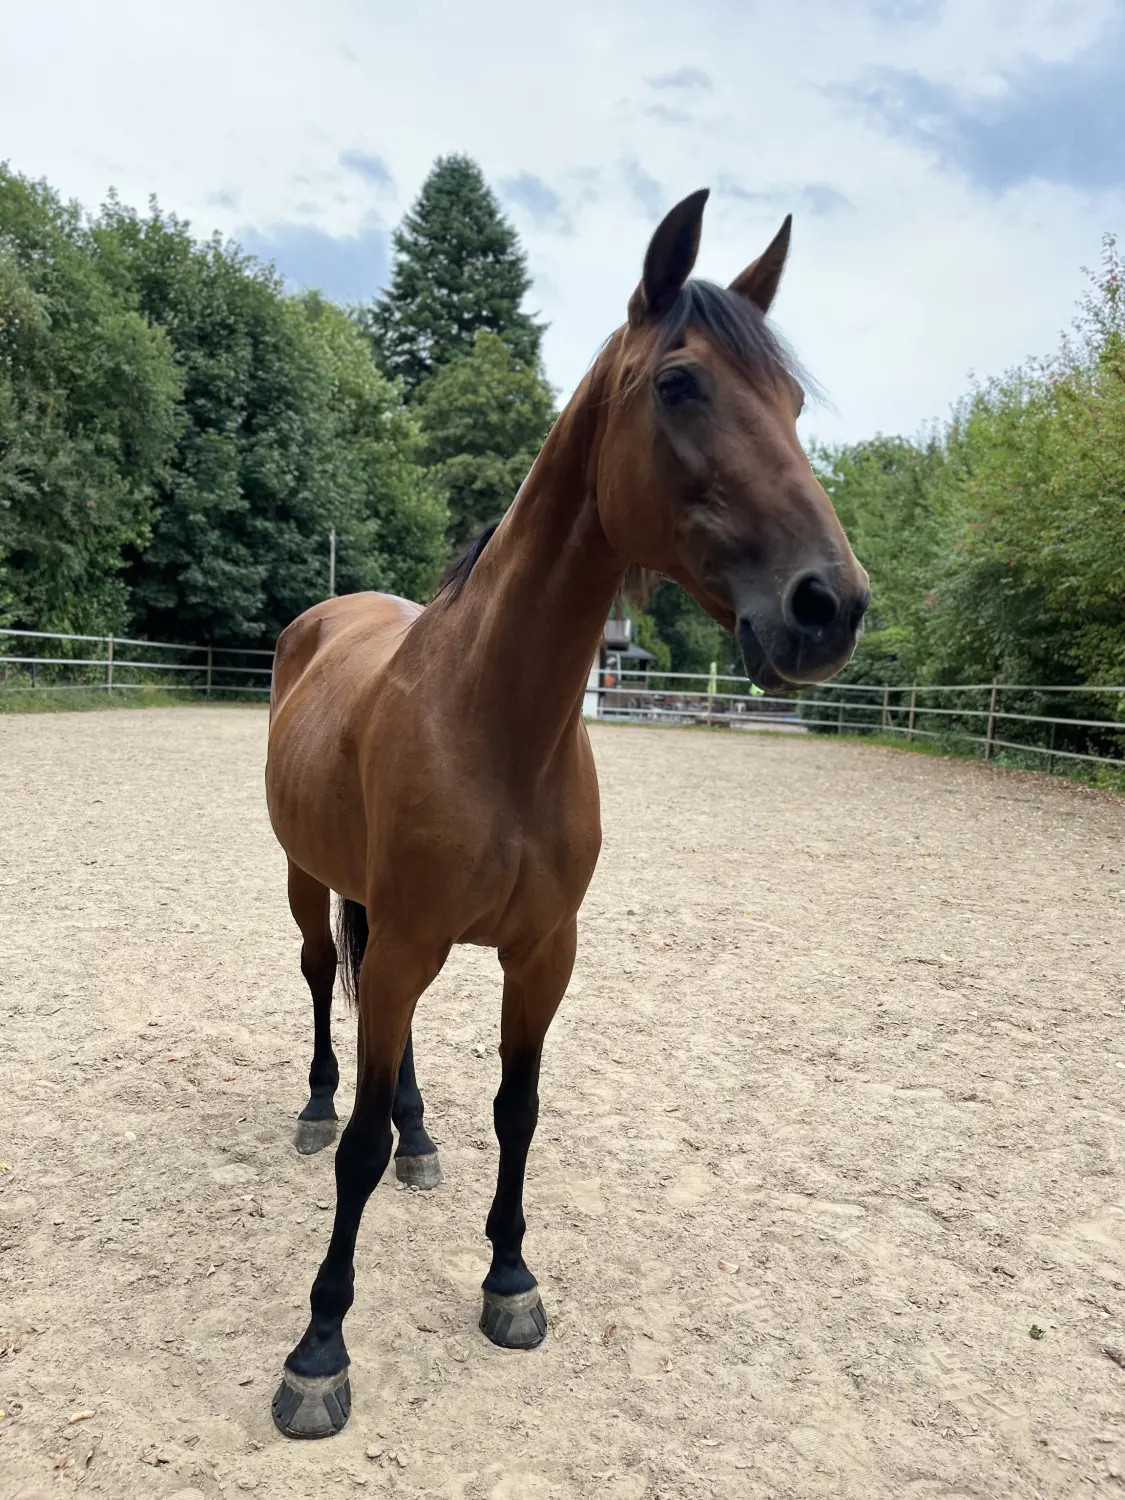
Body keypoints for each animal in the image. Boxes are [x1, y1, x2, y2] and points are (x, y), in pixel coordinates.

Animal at [264, 187, 870, 1438]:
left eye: (791, 403)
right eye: (681, 382)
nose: (829, 606)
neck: (496, 723)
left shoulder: (542, 953)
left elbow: (518, 1110)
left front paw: (507, 1277)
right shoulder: (413, 940)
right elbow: (354, 1155)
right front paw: (320, 1347)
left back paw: (421, 1136)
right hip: (310, 885)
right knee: (320, 983)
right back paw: (317, 1106)